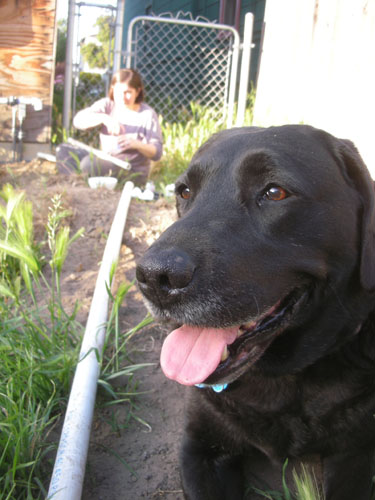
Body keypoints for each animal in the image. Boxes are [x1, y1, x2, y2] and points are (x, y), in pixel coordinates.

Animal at [137, 126, 375, 500]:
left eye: (275, 192)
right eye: (184, 192)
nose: (154, 278)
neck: (285, 380)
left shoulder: (356, 453)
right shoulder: (199, 444)